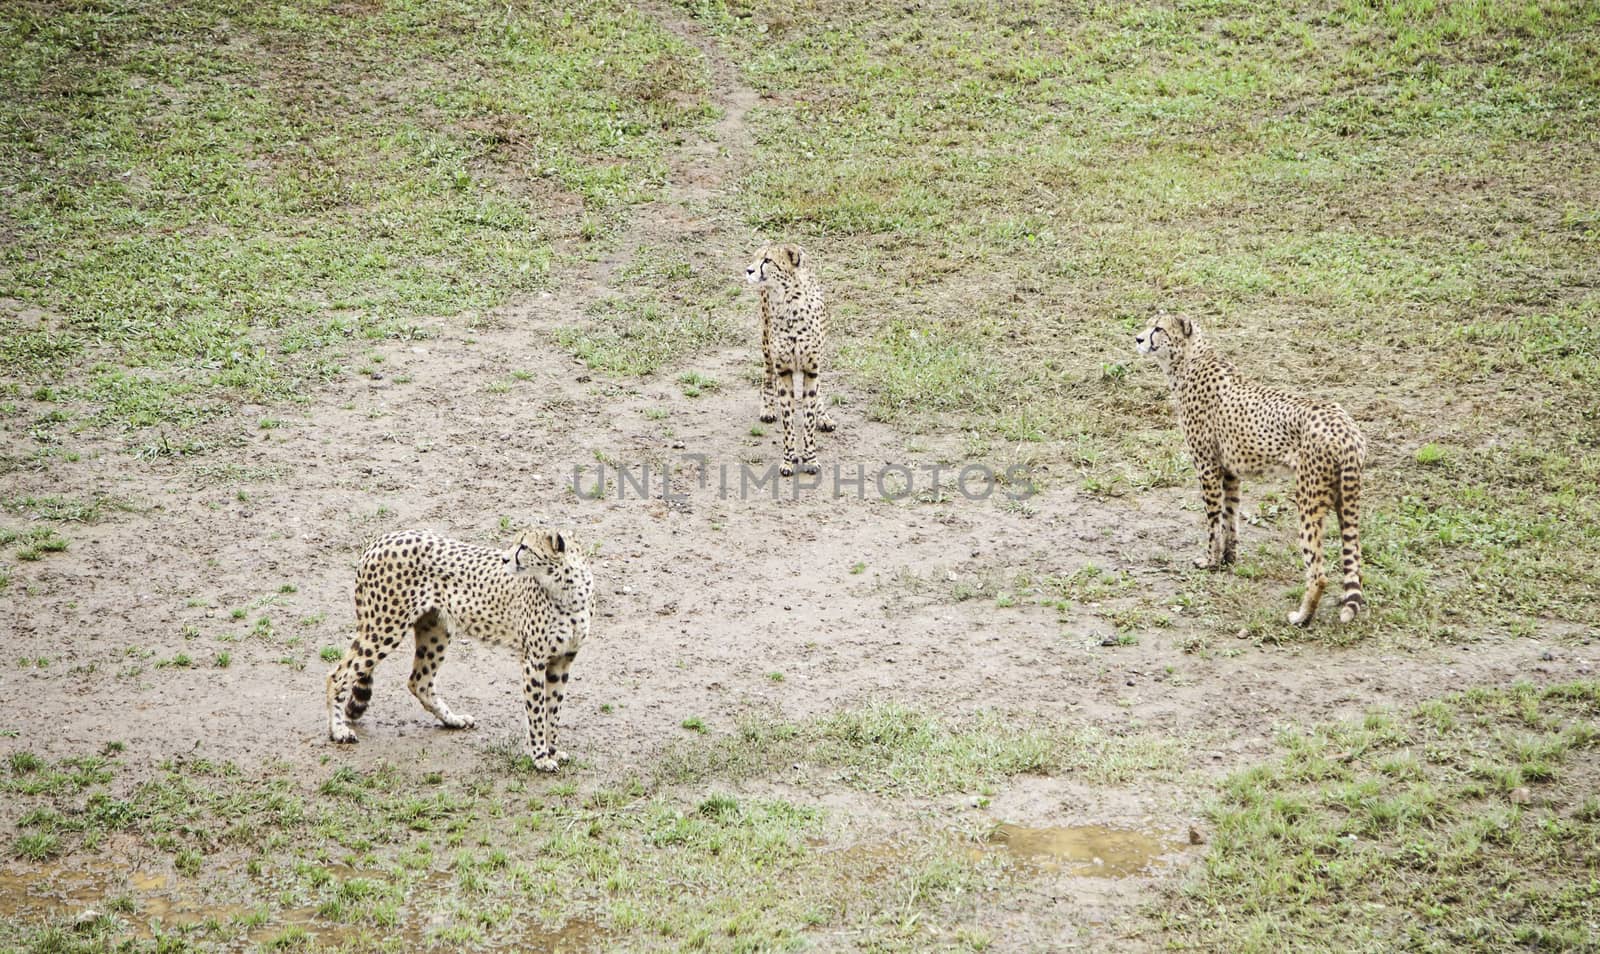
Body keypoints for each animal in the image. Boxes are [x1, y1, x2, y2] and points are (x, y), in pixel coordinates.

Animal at [324, 525, 595, 771]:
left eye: (524, 547)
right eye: (517, 543)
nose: (505, 559)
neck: (567, 589)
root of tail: (381, 539)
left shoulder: (563, 660)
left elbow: (553, 710)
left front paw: (553, 750)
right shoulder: (534, 661)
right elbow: (538, 713)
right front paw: (540, 757)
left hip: (436, 630)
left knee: (419, 681)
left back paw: (452, 720)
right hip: (385, 627)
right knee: (338, 674)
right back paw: (338, 730)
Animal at [748, 241, 838, 473]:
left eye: (767, 260)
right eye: (755, 257)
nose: (749, 270)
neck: (789, 302)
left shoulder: (812, 370)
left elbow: (808, 418)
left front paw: (810, 459)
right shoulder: (784, 370)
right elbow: (788, 420)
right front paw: (789, 459)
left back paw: (823, 416)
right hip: (766, 344)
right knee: (767, 373)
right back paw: (767, 408)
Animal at [1132, 313, 1369, 627]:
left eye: (1158, 328)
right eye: (1149, 324)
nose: (1138, 338)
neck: (1189, 360)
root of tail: (1346, 427)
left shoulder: (1207, 467)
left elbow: (1212, 521)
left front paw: (1209, 560)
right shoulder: (1230, 472)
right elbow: (1229, 517)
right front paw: (1228, 558)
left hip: (1308, 499)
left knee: (1318, 571)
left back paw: (1301, 617)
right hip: (1346, 499)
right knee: (1354, 561)